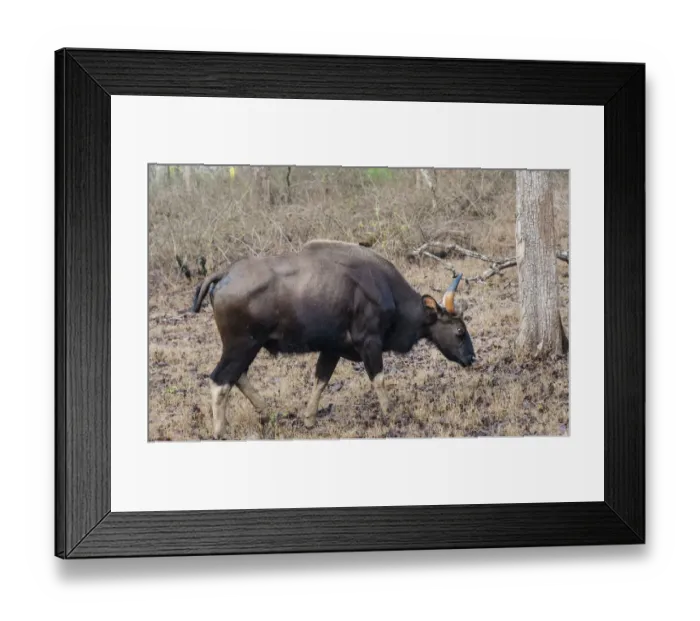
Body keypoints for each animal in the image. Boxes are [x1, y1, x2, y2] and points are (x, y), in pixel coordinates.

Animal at [191, 240, 476, 438]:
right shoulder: (369, 343)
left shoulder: (332, 349)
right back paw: (220, 431)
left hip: (247, 346)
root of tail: (224, 274)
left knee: (237, 376)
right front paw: (390, 413)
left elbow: (321, 379)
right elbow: (379, 379)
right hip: (242, 344)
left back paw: (270, 412)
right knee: (220, 380)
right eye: (460, 331)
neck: (387, 292)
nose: (472, 357)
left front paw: (309, 418)